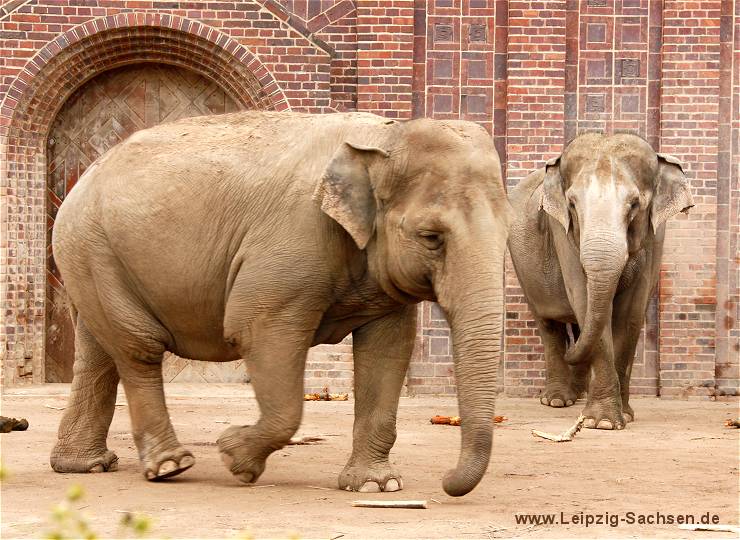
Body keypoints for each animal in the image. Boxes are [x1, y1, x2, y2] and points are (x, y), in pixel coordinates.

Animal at [50, 110, 516, 498]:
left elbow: (388, 349)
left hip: (94, 258)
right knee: (138, 347)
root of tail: (82, 178)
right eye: (431, 237)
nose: (446, 482)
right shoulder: (292, 243)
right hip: (92, 247)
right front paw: (234, 457)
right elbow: (256, 331)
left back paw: (84, 466)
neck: (385, 136)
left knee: (99, 354)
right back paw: (170, 466)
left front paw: (376, 486)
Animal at [508, 132, 692, 430]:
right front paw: (603, 422)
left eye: (635, 204)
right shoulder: (562, 232)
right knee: (549, 325)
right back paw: (557, 400)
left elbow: (631, 313)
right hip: (522, 267)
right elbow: (584, 300)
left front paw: (622, 417)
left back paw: (578, 394)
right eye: (572, 204)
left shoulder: (656, 237)